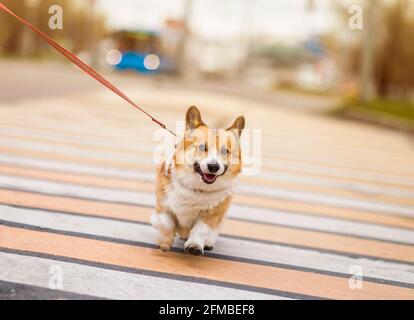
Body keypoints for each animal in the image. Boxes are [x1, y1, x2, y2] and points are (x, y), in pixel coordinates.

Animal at [152, 106, 244, 256]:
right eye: (202, 147)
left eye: (225, 151)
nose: (213, 166)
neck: (197, 187)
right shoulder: (164, 203)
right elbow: (166, 223)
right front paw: (164, 243)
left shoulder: (211, 215)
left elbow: (200, 230)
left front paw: (194, 245)